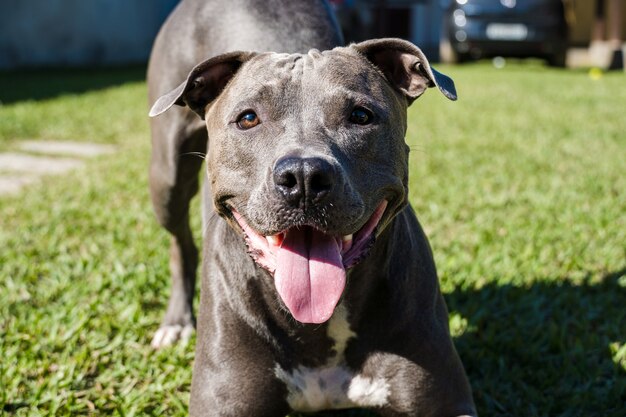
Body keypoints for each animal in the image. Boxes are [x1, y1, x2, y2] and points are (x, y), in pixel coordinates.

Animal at [149, 0, 476, 416]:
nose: (303, 176)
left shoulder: (444, 399)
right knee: (180, 242)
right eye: (248, 118)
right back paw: (176, 321)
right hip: (166, 178)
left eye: (361, 116)